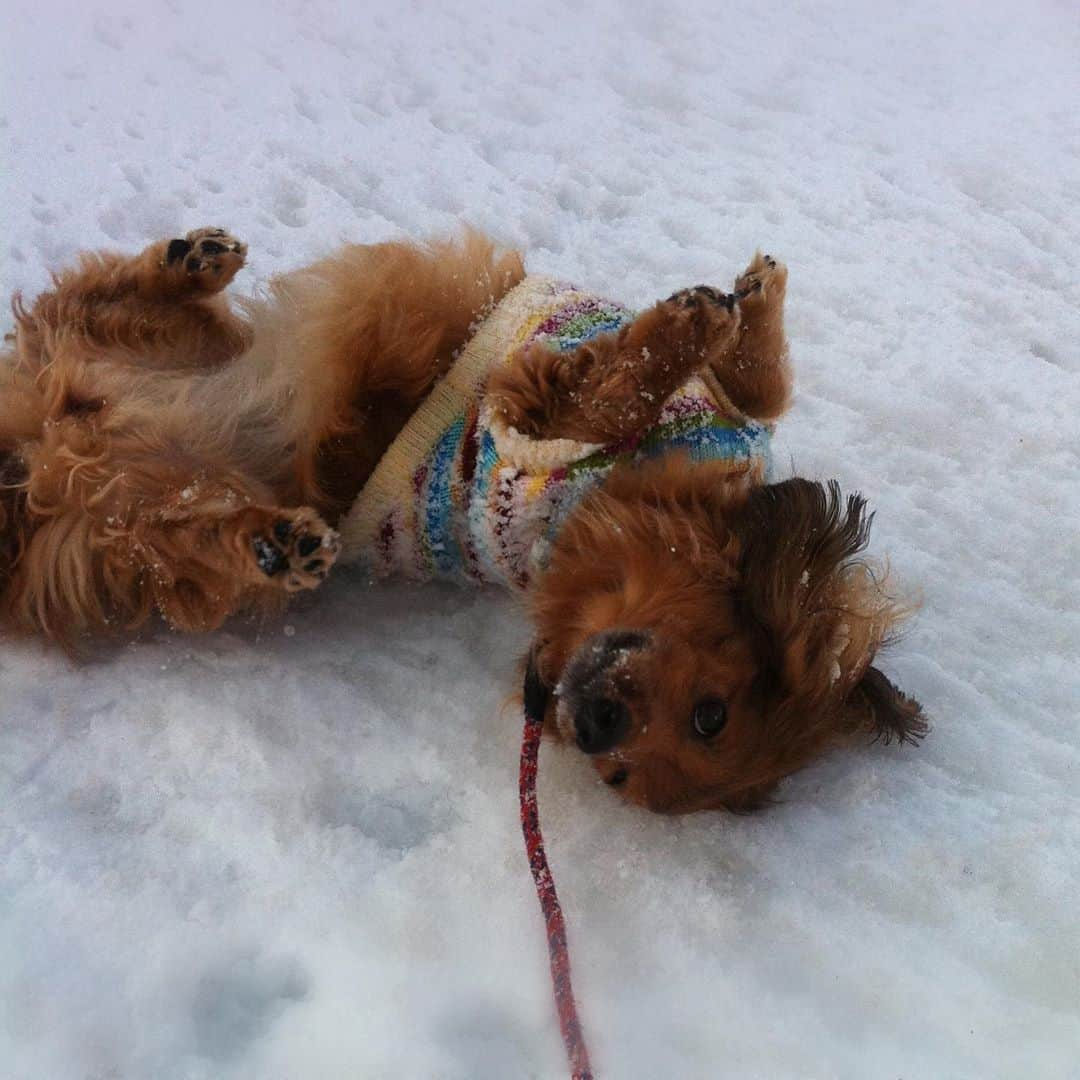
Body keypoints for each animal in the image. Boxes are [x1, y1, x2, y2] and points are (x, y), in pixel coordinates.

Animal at [2, 232, 928, 812]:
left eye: (625, 780)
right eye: (715, 714)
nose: (590, 726)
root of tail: (39, 454)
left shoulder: (533, 416)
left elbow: (642, 386)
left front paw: (714, 315)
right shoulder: (588, 412)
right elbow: (739, 383)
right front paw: (733, 305)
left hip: (136, 517)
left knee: (173, 525)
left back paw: (270, 542)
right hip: (132, 360)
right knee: (86, 301)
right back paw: (188, 259)